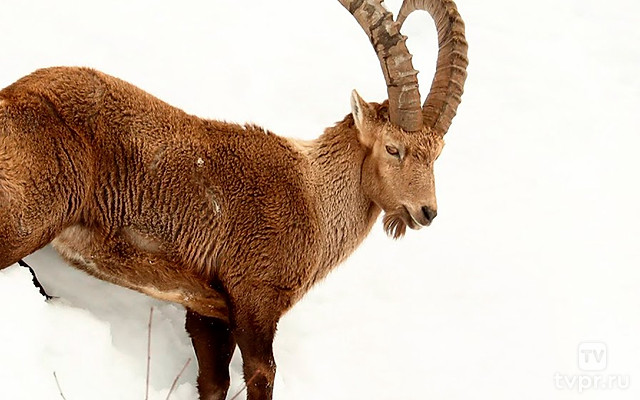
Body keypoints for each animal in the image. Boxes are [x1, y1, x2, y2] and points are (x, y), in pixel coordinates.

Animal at [0, 0, 468, 399]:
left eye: (438, 153)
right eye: (393, 148)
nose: (426, 212)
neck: (314, 198)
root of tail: (11, 96)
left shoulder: (209, 313)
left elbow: (213, 381)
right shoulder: (254, 297)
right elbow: (262, 373)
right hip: (35, 212)